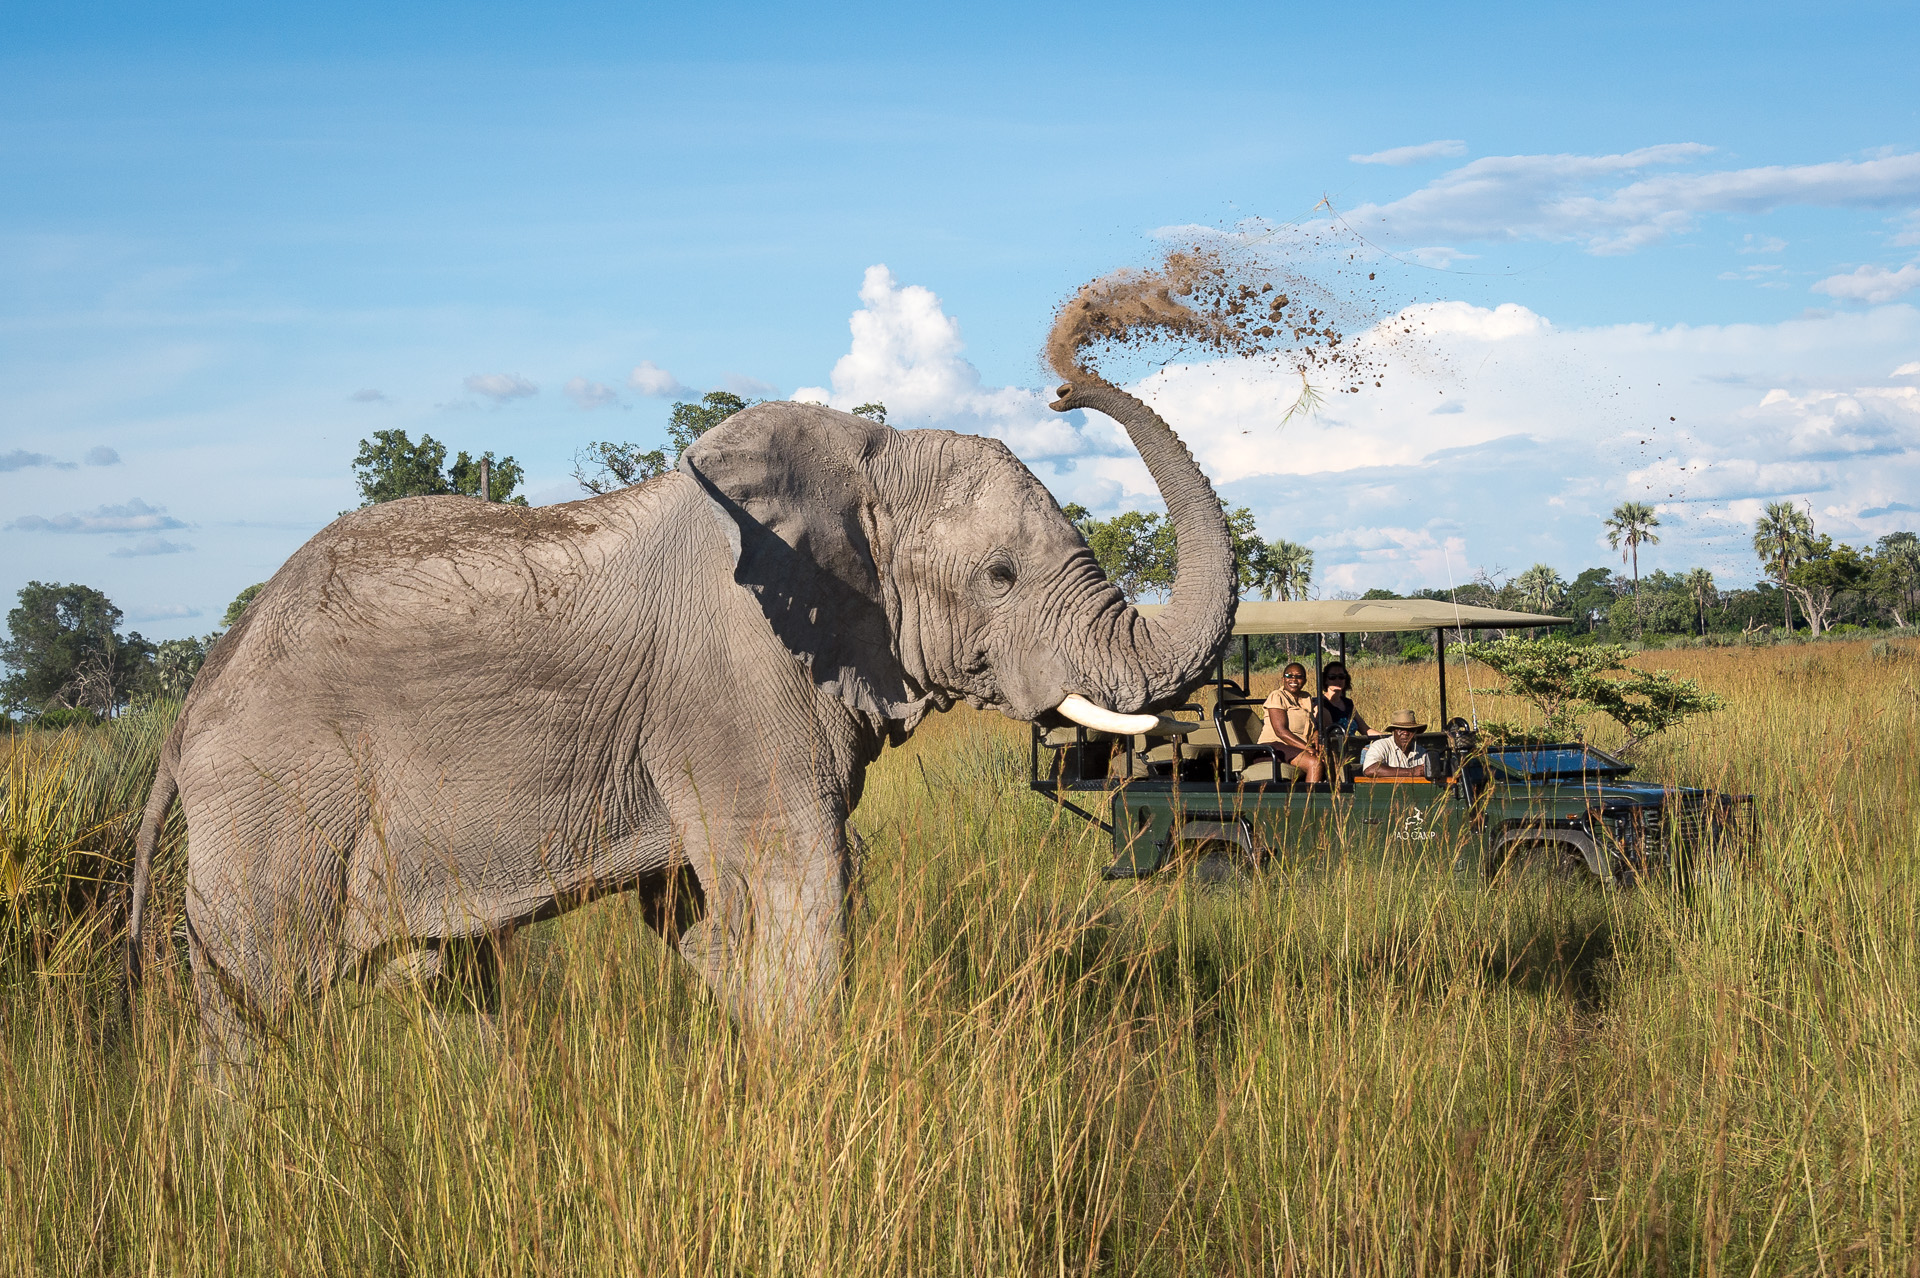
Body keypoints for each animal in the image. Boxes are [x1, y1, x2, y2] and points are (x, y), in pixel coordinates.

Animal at [125, 374, 1234, 1079]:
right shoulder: (735, 680)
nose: (1063, 390)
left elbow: (700, 919)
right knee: (255, 997)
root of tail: (187, 716)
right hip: (274, 802)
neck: (865, 459)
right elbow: (800, 885)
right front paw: (809, 1097)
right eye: (999, 578)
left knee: (444, 982)